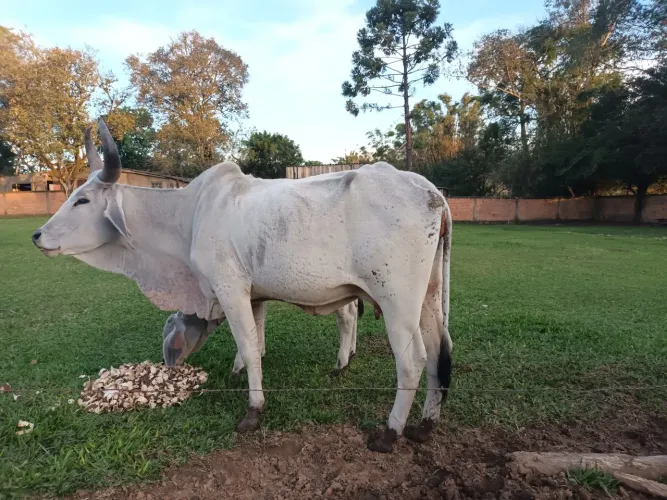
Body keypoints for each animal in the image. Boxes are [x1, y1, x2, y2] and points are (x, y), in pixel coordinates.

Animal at [162, 299, 362, 377]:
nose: (165, 363)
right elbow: (258, 324)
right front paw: (260, 352)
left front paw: (238, 367)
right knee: (353, 311)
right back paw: (352, 351)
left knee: (347, 316)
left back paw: (341, 364)